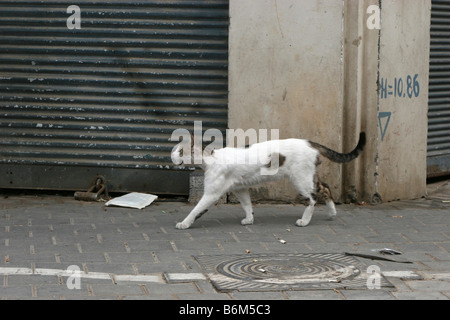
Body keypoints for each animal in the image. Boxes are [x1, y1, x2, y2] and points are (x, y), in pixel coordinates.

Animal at [171, 131, 364, 229]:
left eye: (180, 151)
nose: (171, 156)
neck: (210, 159)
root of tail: (309, 142)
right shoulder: (240, 188)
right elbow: (247, 205)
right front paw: (249, 219)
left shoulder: (212, 193)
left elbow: (196, 209)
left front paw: (184, 223)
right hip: (309, 176)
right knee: (325, 188)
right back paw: (332, 213)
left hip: (300, 178)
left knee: (313, 197)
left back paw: (305, 220)